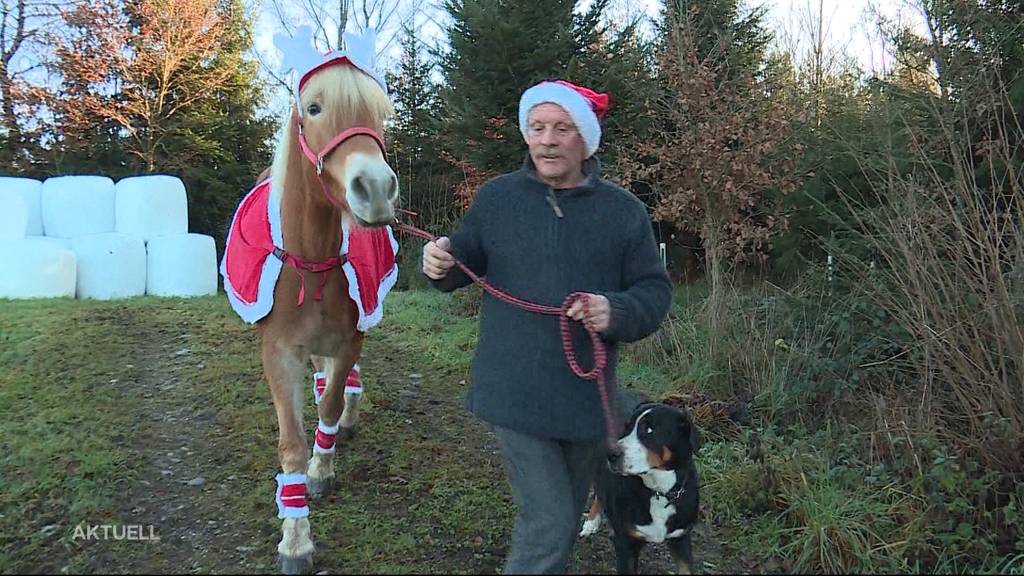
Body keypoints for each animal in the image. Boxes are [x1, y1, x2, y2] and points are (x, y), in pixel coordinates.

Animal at [226, 58, 397, 569]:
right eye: (313, 108)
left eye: (381, 115)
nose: (375, 189)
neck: (312, 259)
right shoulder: (279, 353)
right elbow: (292, 444)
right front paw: (296, 539)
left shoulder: (349, 339)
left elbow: (332, 404)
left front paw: (324, 467)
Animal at [581, 391, 700, 569]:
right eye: (626, 427)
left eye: (650, 430)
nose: (611, 454)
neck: (658, 490)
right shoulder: (626, 545)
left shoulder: (681, 537)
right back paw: (591, 521)